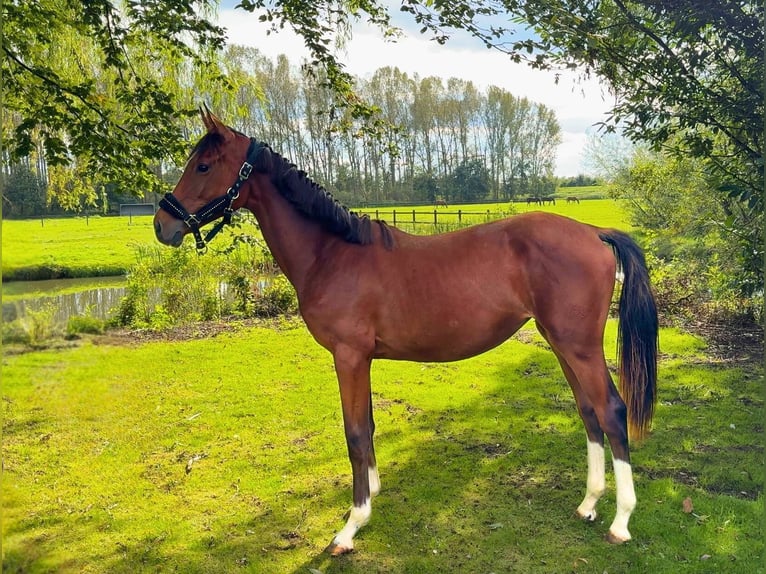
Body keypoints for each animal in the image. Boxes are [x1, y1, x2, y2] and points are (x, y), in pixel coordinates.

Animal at [154, 109, 660, 560]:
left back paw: (620, 522)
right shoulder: (361, 359)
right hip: (561, 345)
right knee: (589, 412)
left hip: (579, 347)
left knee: (612, 411)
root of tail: (594, 232)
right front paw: (372, 492)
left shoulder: (348, 356)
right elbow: (368, 426)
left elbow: (356, 432)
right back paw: (589, 505)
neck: (332, 253)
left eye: (203, 166)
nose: (163, 224)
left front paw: (351, 525)